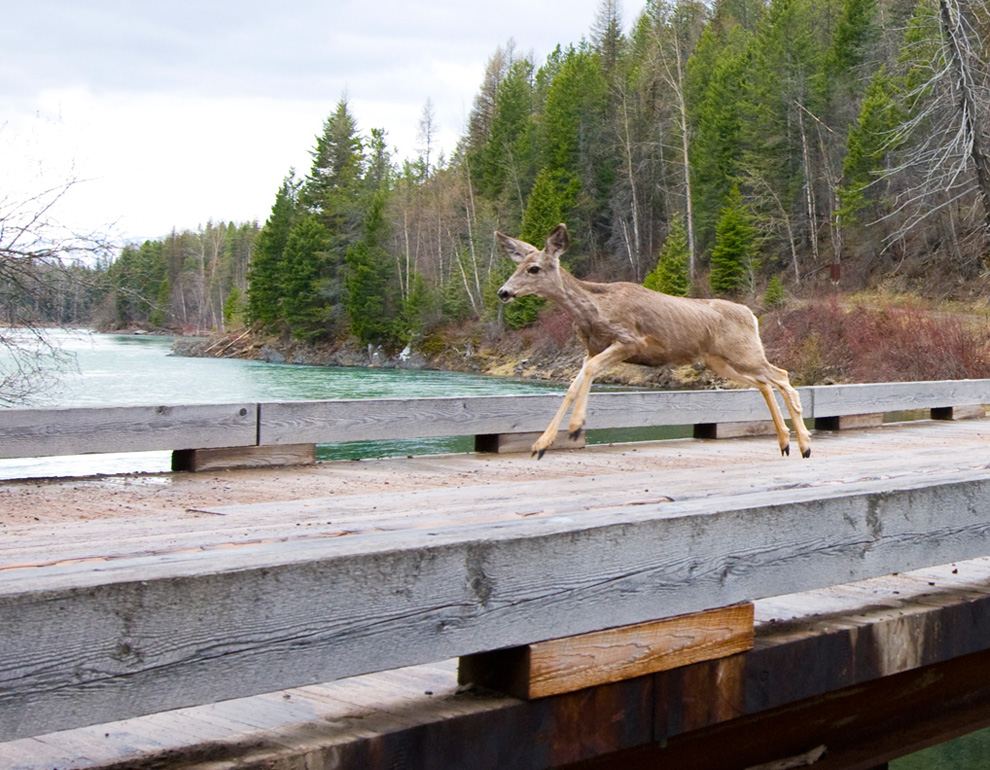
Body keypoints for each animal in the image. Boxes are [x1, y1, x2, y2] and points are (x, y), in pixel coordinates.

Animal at [496, 225, 812, 460]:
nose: (503, 292)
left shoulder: (630, 340)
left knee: (781, 376)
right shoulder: (592, 349)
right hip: (721, 361)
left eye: (534, 269)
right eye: (517, 265)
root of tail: (752, 316)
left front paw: (575, 426)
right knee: (764, 383)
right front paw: (541, 444)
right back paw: (785, 442)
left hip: (745, 353)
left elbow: (590, 372)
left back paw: (804, 445)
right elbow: (574, 385)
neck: (593, 310)